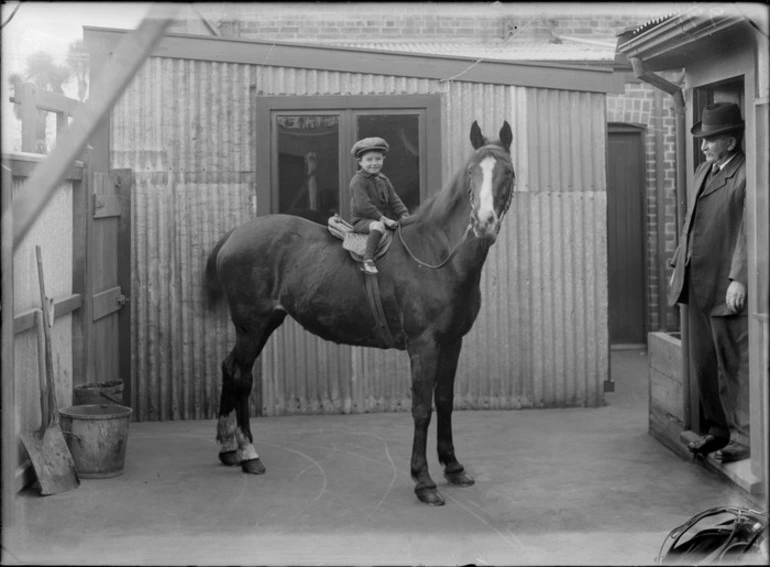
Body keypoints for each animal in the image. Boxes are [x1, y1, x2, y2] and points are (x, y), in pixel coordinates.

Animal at [207, 121, 512, 506]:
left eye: (508, 172)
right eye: (471, 172)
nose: (484, 222)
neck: (437, 255)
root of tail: (234, 235)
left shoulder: (452, 342)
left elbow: (444, 400)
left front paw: (453, 467)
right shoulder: (423, 346)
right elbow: (422, 408)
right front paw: (423, 481)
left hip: (264, 323)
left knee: (230, 368)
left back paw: (228, 449)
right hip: (252, 324)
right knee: (242, 375)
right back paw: (249, 454)